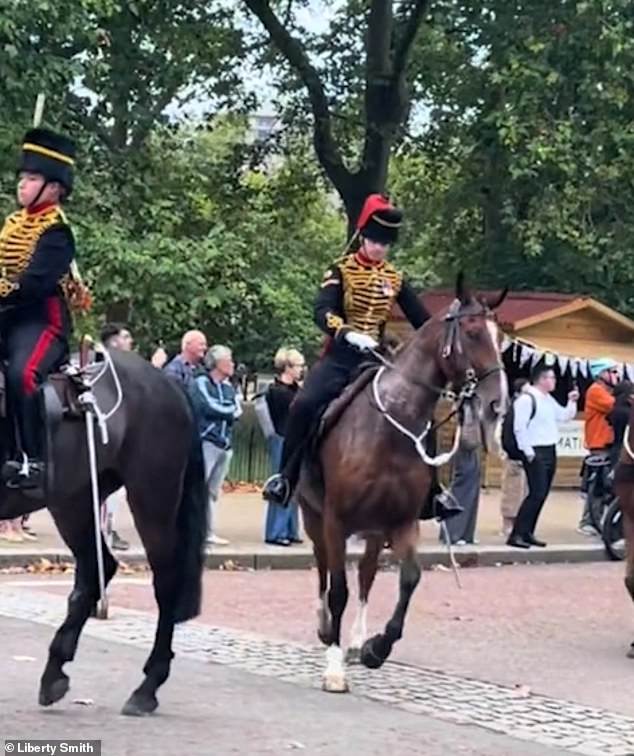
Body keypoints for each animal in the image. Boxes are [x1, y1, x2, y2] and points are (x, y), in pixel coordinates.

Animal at [0, 348, 207, 716]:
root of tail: (167, 382)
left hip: (151, 498)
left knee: (165, 581)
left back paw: (147, 688)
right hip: (74, 499)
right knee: (98, 570)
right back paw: (55, 672)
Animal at [294, 276, 506, 692]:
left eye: (500, 336)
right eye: (473, 332)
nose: (496, 405)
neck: (389, 424)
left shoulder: (403, 522)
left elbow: (408, 579)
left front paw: (376, 647)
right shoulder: (335, 520)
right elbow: (338, 588)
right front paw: (334, 669)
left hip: (375, 531)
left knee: (366, 576)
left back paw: (355, 641)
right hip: (314, 518)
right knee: (324, 569)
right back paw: (326, 628)